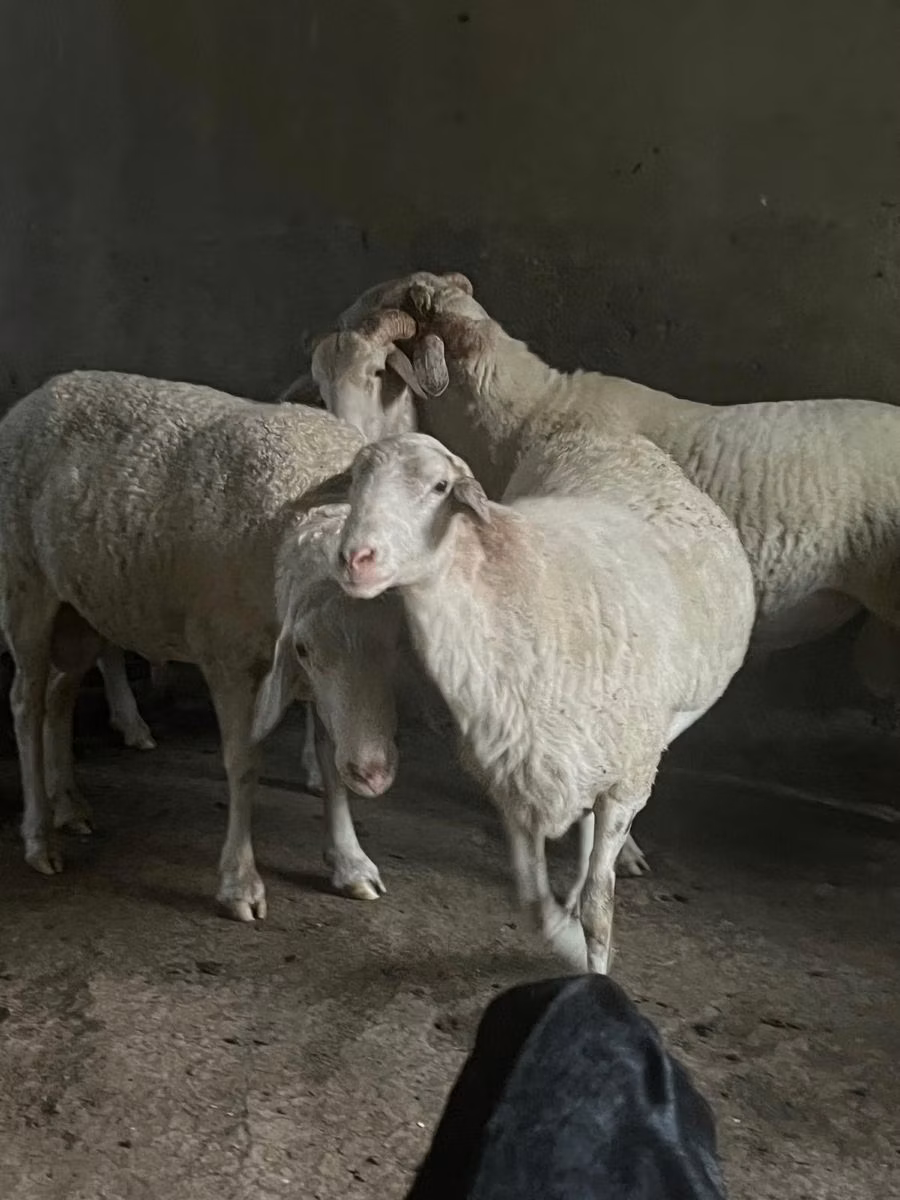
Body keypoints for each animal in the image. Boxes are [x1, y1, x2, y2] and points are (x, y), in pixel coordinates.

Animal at [0, 371, 402, 917]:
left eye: (397, 645)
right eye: (303, 650)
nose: (374, 775)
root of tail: (39, 395)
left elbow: (328, 759)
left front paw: (350, 862)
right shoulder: (228, 655)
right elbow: (243, 762)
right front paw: (239, 883)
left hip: (83, 605)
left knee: (59, 697)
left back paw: (70, 805)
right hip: (25, 586)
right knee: (26, 702)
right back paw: (39, 836)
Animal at [334, 430, 755, 972]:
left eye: (439, 486)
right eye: (355, 479)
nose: (354, 558)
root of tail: (612, 436)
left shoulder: (626, 779)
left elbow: (600, 905)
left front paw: (594, 963)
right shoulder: (513, 775)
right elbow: (533, 901)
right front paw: (566, 938)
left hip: (658, 731)